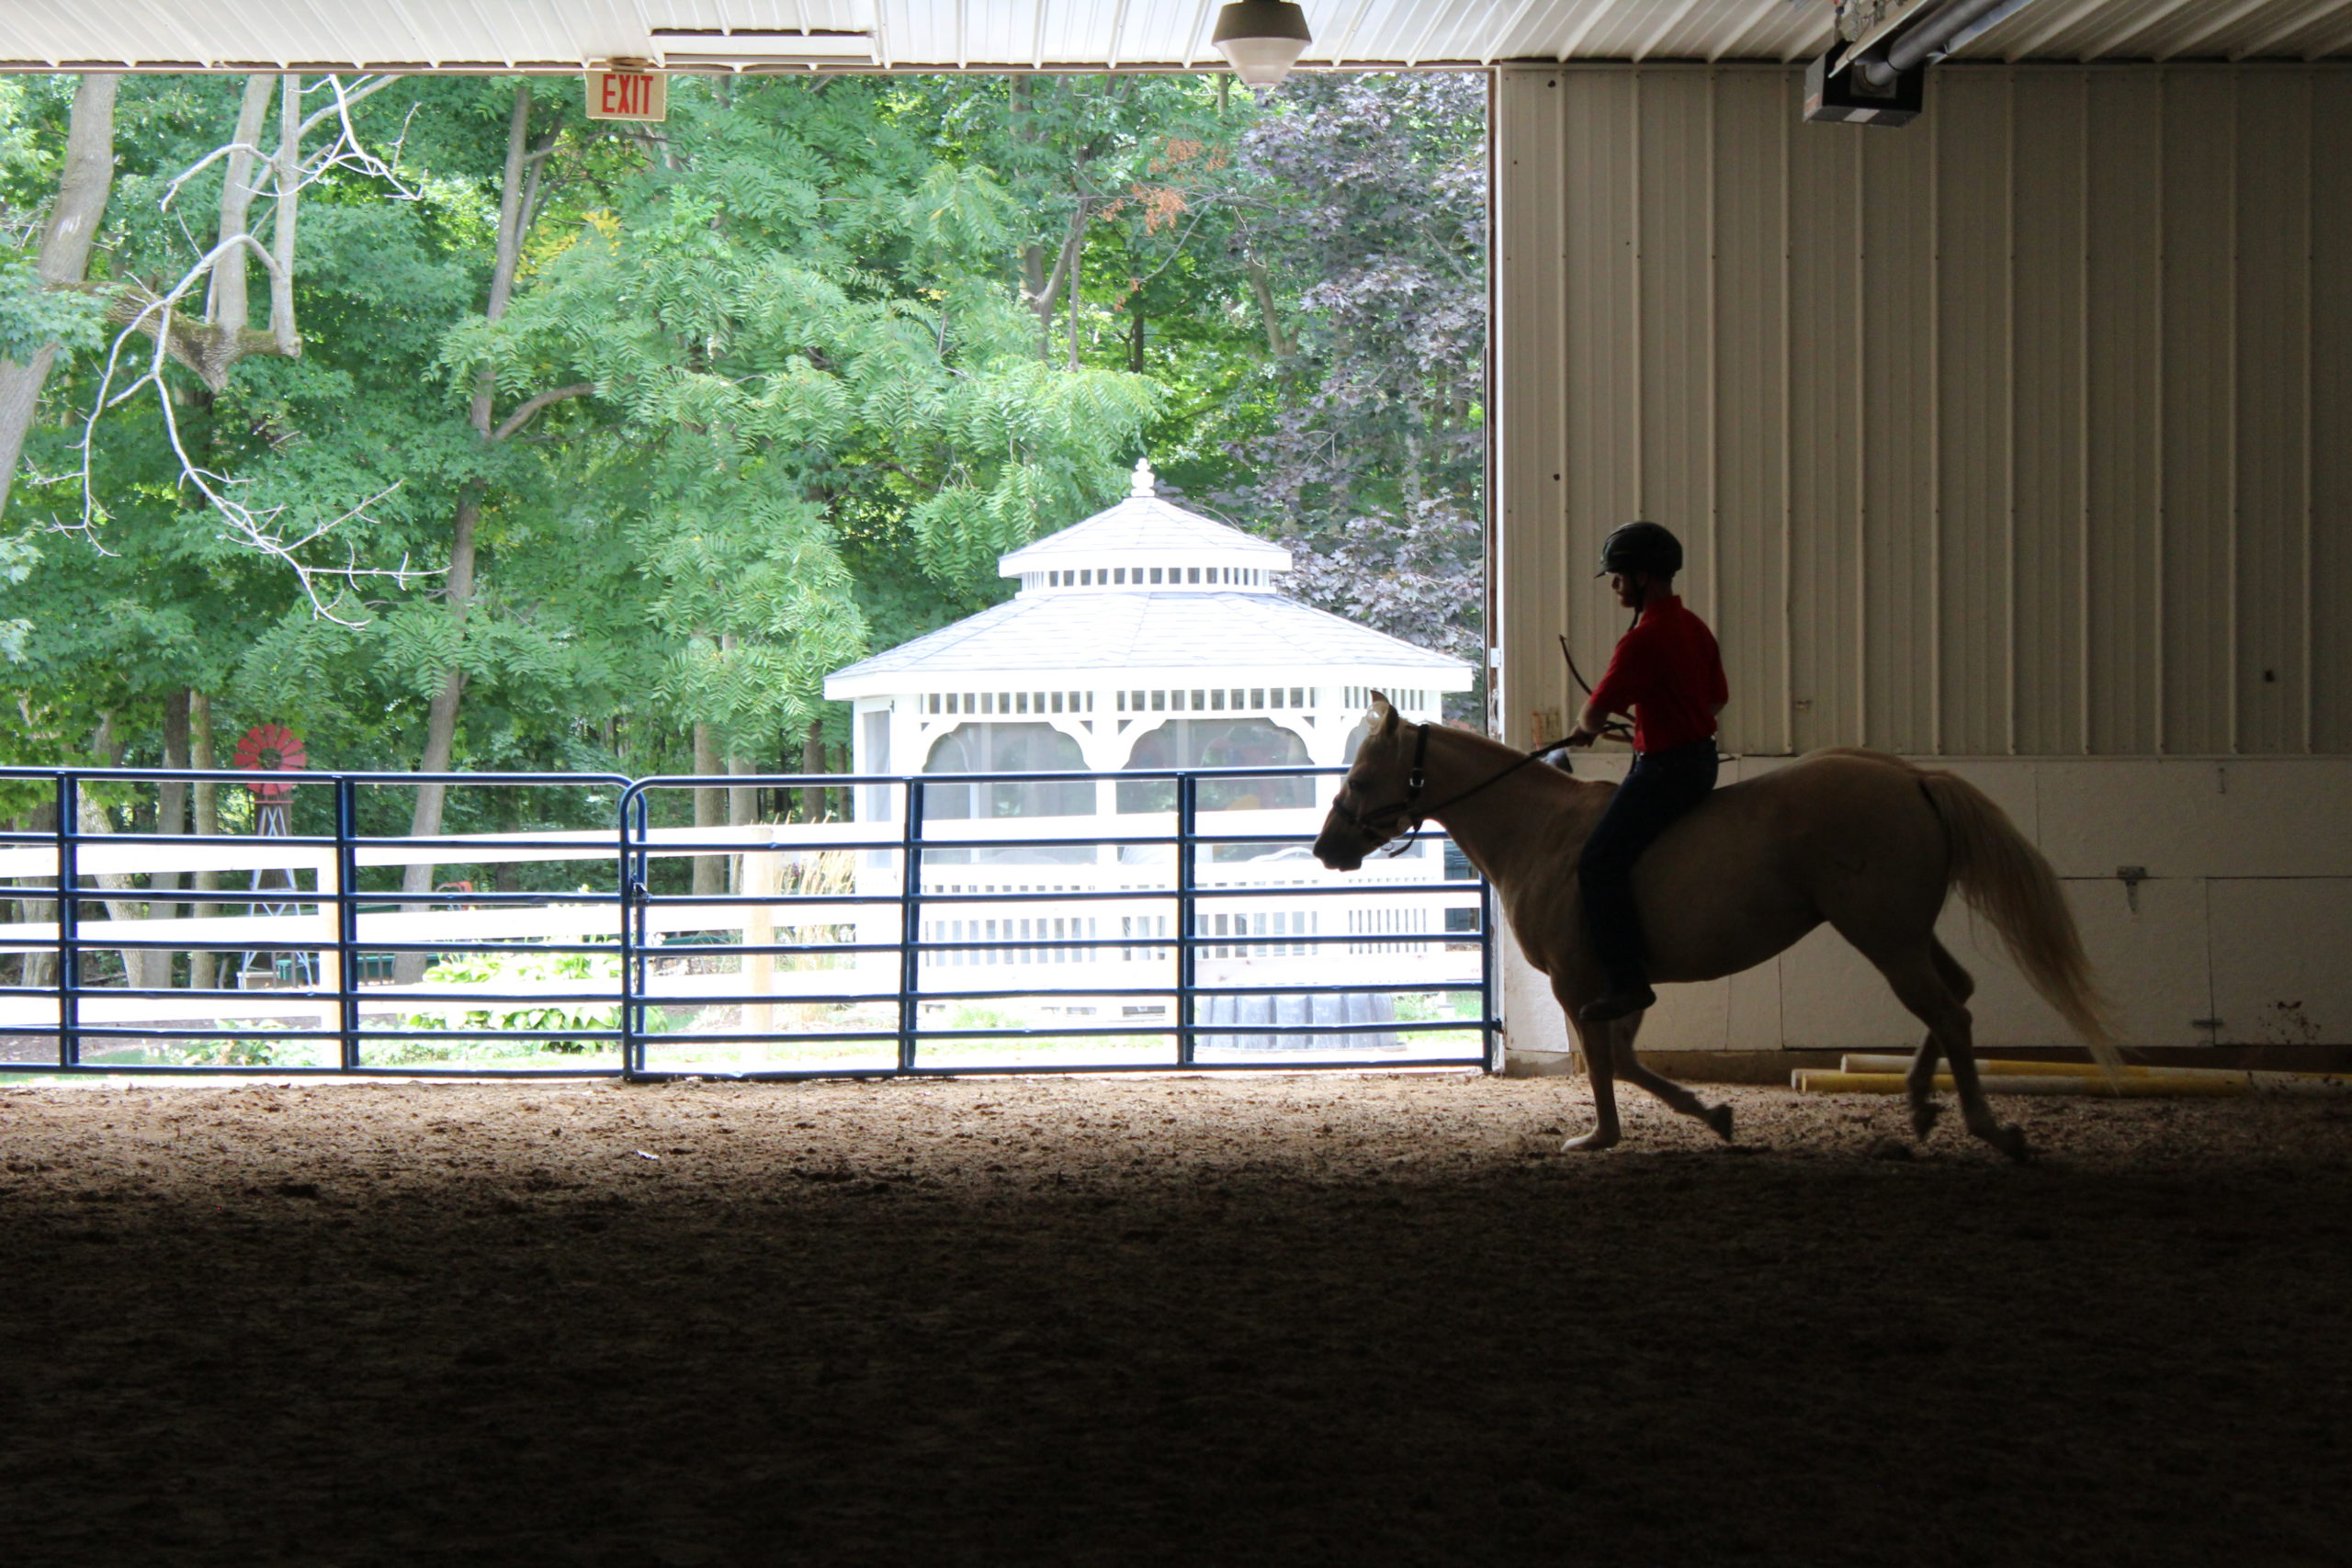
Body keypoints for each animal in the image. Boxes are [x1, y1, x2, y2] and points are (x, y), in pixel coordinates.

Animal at [1317, 691, 2126, 1161]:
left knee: (1949, 1010)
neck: (1540, 831)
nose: (1327, 848)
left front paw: (1601, 1136)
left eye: (1358, 777)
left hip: (1883, 934)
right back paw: (1924, 1103)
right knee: (1953, 995)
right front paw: (1715, 1115)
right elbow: (1629, 1058)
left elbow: (1609, 1063)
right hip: (1904, 929)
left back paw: (1989, 1125)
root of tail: (1912, 777)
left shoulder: (1583, 981)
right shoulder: (1623, 984)